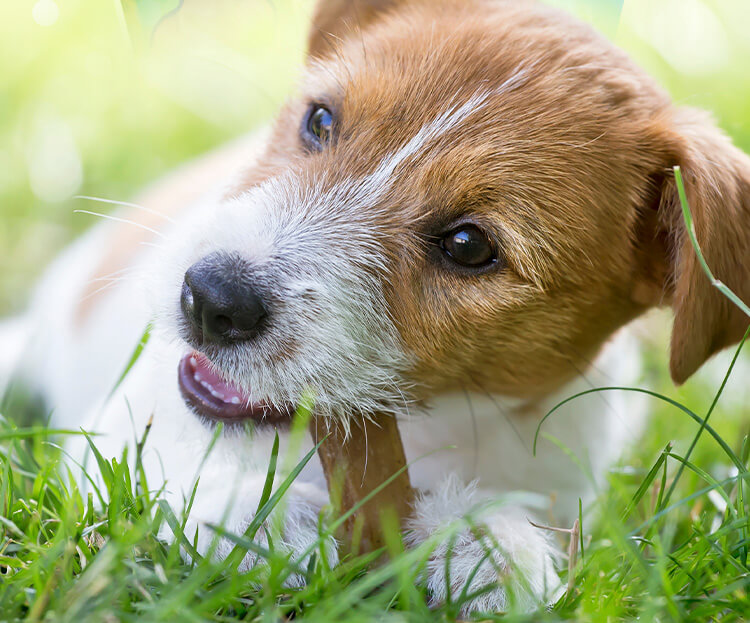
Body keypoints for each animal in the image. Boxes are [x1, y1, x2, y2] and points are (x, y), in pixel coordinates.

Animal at [2, 0, 749, 613]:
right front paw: (261, 515)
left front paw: (491, 544)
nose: (211, 299)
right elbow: (152, 471)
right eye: (320, 120)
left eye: (469, 245)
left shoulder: (563, 484)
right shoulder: (123, 423)